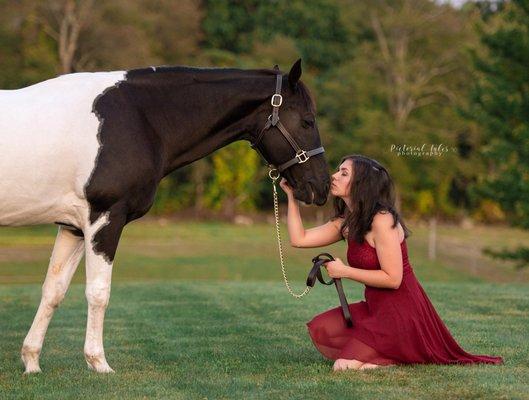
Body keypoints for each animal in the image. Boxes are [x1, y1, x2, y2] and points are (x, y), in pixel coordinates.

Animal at [0, 58, 330, 372]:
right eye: (307, 121)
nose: (322, 186)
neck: (139, 117)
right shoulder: (105, 218)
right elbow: (98, 292)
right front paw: (99, 362)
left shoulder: (73, 227)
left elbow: (53, 290)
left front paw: (31, 361)